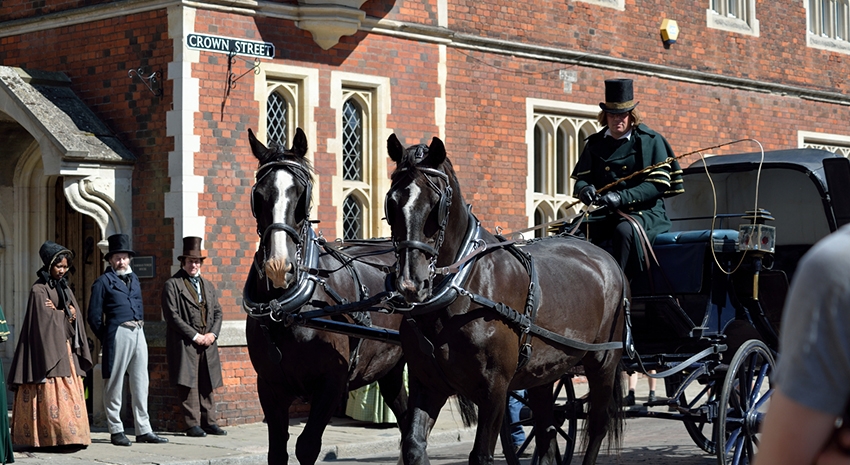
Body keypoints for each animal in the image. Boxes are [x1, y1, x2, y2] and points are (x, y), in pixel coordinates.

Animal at [243, 128, 406, 464]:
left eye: (301, 194)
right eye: (258, 195)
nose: (278, 267)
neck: (287, 311)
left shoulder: (331, 383)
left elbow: (306, 446)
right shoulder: (269, 385)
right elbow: (277, 451)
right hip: (392, 369)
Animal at [384, 135, 628, 464]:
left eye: (436, 205)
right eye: (392, 202)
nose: (411, 283)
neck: (462, 288)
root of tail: (605, 257)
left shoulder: (495, 388)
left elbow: (481, 455)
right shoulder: (428, 383)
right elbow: (413, 446)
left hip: (603, 361)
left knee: (597, 425)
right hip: (543, 371)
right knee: (546, 428)